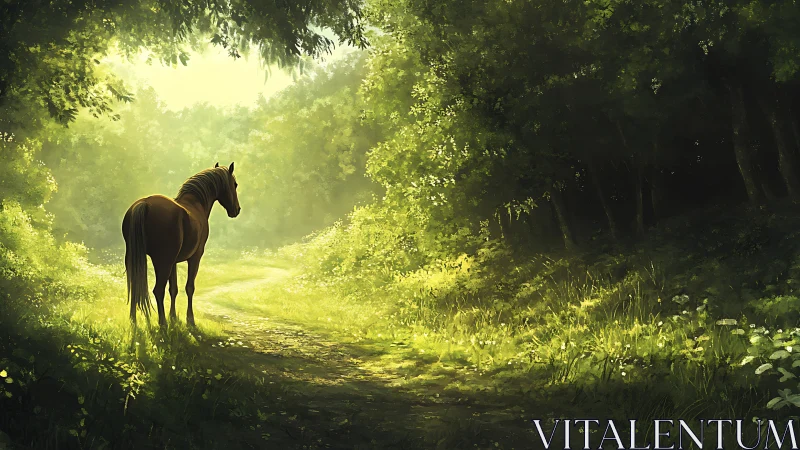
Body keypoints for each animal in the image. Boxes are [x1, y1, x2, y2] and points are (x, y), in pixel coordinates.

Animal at [122, 162, 241, 326]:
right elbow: (189, 287)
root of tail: (144, 203)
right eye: (234, 184)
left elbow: (174, 289)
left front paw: (173, 317)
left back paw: (133, 321)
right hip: (162, 261)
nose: (237, 210)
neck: (195, 204)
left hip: (135, 259)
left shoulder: (174, 262)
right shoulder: (195, 257)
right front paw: (189, 319)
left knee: (135, 285)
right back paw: (162, 323)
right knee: (158, 290)